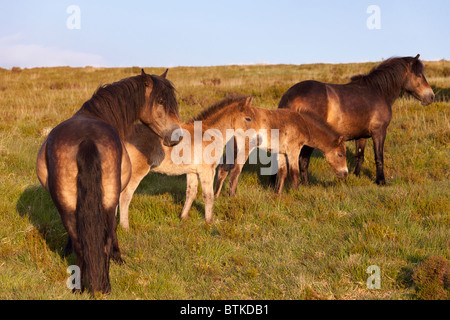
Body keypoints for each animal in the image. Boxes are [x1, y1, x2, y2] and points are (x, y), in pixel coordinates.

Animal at [35, 70, 181, 296]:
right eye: (161, 101)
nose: (177, 136)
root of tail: (86, 140)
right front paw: (118, 257)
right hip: (107, 201)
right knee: (104, 239)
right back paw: (103, 285)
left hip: (68, 205)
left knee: (81, 243)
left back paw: (80, 287)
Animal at [118, 95, 258, 228]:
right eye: (248, 118)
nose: (256, 138)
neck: (207, 134)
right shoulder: (207, 171)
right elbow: (208, 196)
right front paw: (210, 222)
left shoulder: (192, 171)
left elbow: (191, 193)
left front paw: (183, 217)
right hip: (136, 172)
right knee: (125, 196)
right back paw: (125, 227)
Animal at [214, 109, 348, 196]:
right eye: (340, 154)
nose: (345, 173)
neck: (303, 124)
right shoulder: (293, 150)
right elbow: (294, 172)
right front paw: (296, 194)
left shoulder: (281, 152)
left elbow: (282, 172)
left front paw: (278, 194)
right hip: (244, 148)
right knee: (235, 170)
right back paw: (232, 195)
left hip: (232, 147)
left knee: (223, 169)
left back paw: (216, 195)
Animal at [280, 54, 434, 185]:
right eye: (419, 75)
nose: (431, 96)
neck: (378, 92)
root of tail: (290, 96)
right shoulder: (379, 132)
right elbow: (379, 157)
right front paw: (381, 181)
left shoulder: (361, 136)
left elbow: (360, 157)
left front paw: (356, 177)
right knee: (303, 160)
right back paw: (307, 185)